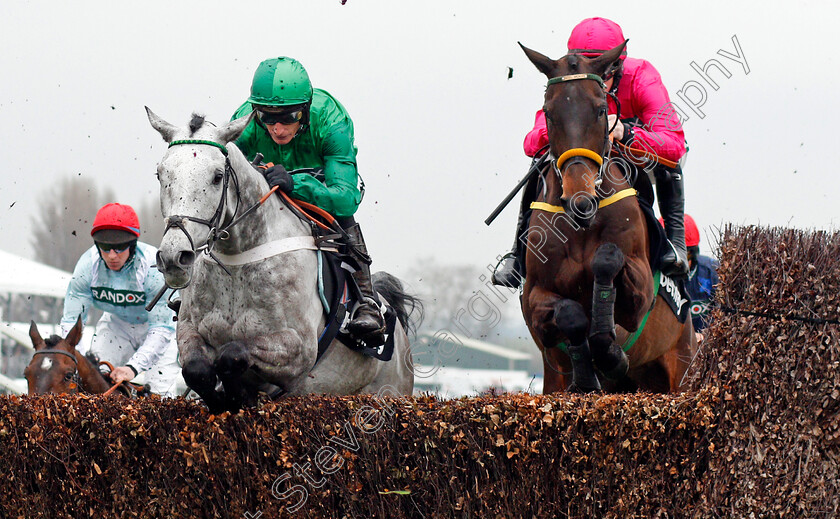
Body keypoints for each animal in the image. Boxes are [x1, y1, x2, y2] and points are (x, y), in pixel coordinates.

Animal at [147, 107, 420, 412]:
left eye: (217, 176)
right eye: (161, 174)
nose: (174, 256)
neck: (238, 261)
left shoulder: (297, 349)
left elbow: (231, 355)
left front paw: (240, 396)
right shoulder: (189, 332)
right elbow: (196, 370)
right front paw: (226, 398)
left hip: (388, 393)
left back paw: (367, 317)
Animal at [520, 41, 696, 394]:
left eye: (602, 110)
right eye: (548, 112)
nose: (580, 200)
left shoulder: (640, 293)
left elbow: (607, 261)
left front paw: (610, 354)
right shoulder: (536, 300)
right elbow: (571, 315)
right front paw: (587, 375)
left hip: (682, 370)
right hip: (554, 379)